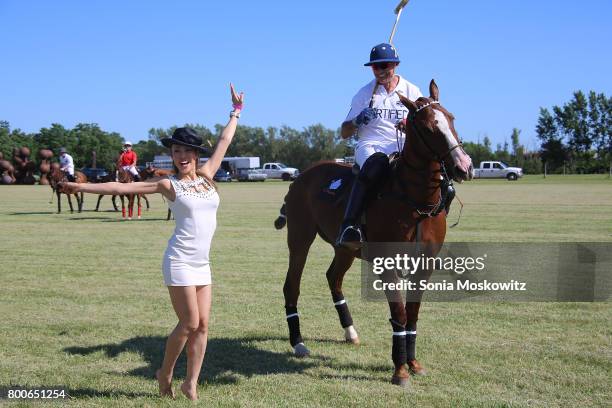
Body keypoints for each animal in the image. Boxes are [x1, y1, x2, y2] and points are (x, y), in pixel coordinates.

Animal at [274, 79, 474, 386]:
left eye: (451, 118)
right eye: (428, 127)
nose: (464, 167)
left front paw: (413, 363)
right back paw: (298, 342)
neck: (414, 200)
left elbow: (413, 312)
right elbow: (399, 313)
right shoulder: (387, 263)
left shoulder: (424, 264)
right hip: (299, 238)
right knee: (291, 285)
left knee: (333, 277)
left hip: (344, 248)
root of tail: (300, 176)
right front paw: (400, 369)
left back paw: (350, 332)